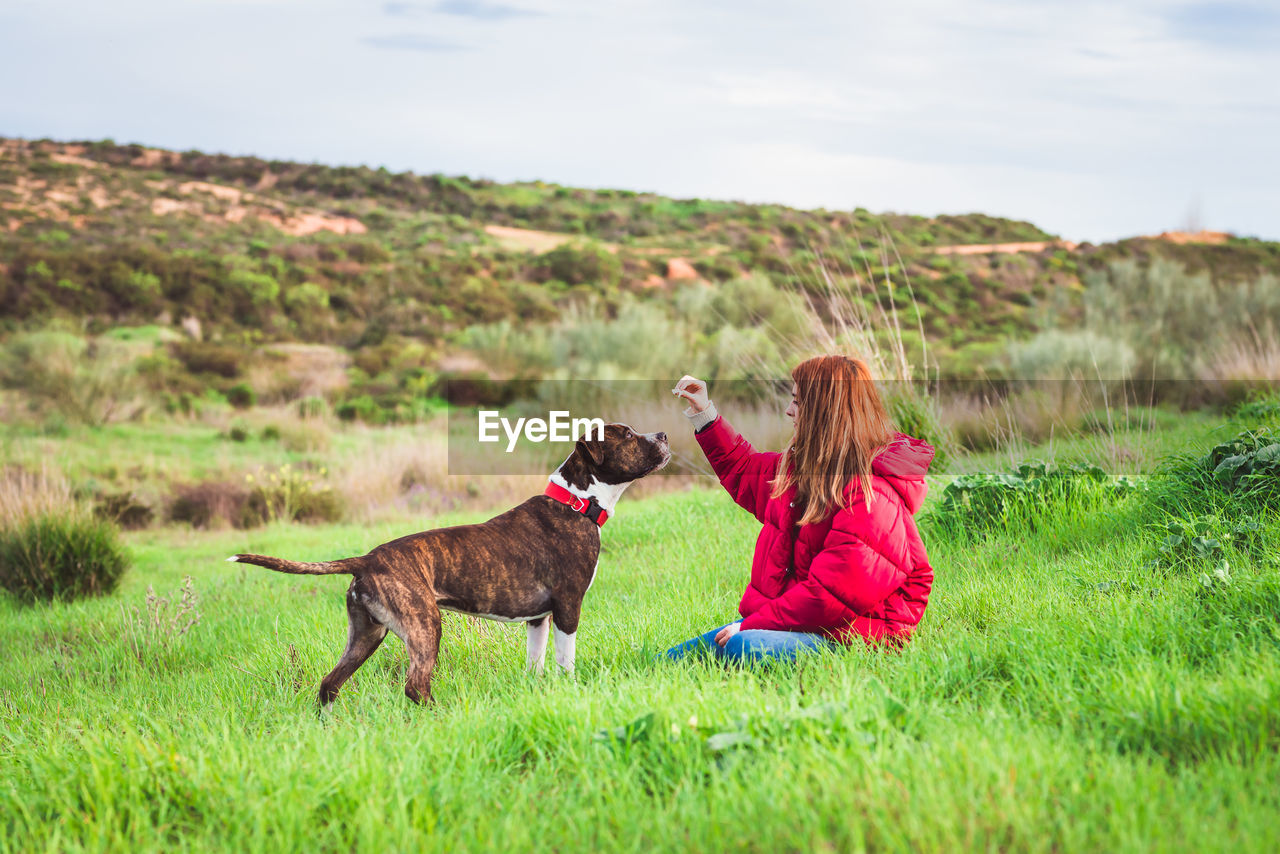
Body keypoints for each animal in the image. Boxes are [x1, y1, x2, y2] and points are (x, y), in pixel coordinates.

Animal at [230, 422, 670, 706]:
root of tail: (367, 559)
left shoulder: (537, 619)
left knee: (329, 684)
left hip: (366, 635)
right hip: (425, 625)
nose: (664, 435)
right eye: (627, 435)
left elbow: (536, 663)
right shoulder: (567, 609)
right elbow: (566, 662)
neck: (576, 502)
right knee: (415, 686)